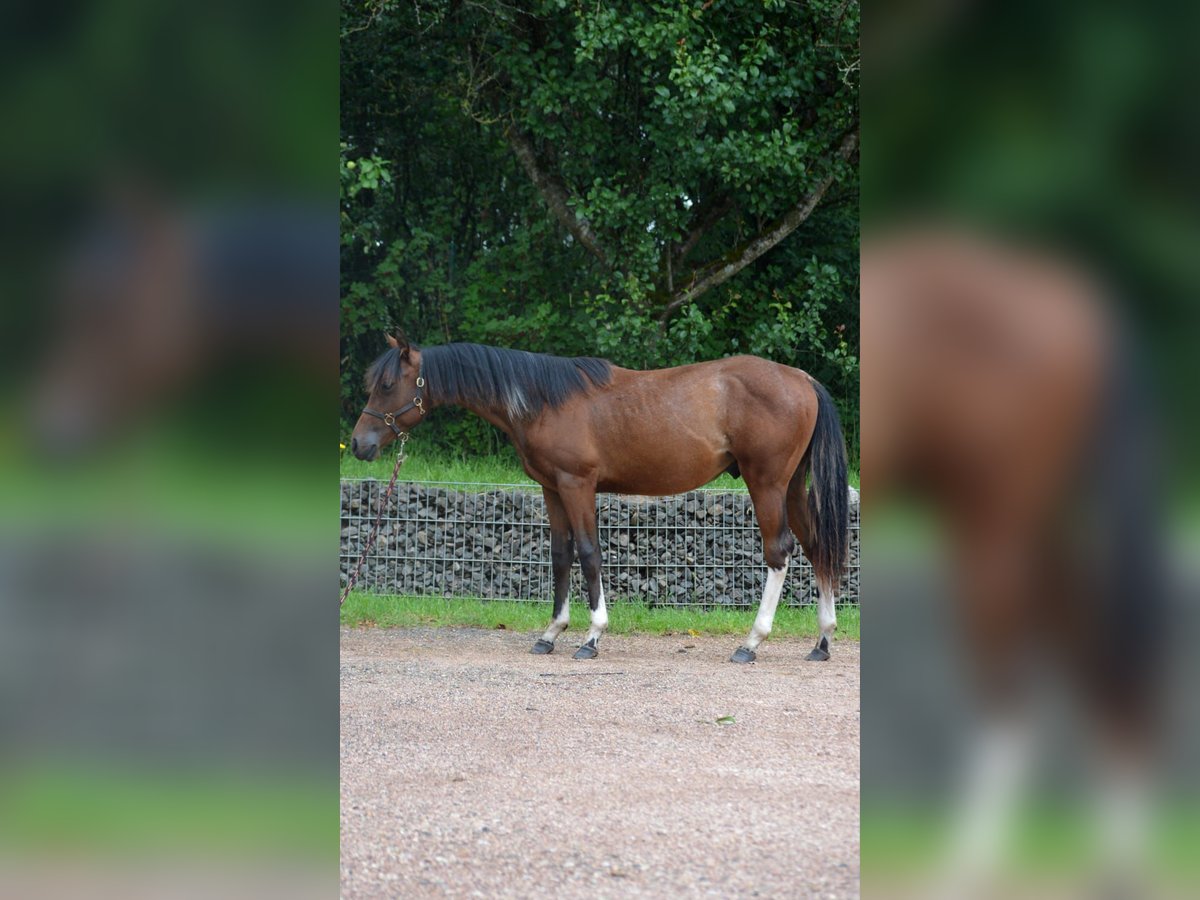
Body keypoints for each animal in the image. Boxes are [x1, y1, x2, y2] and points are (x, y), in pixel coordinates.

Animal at [350, 331, 854, 662]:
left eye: (388, 384)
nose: (358, 444)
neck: (543, 400)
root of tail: (801, 378)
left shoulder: (577, 485)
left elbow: (589, 553)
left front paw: (592, 636)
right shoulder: (552, 488)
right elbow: (561, 555)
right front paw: (551, 633)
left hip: (766, 484)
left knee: (779, 552)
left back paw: (751, 643)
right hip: (791, 487)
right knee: (816, 548)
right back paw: (823, 641)